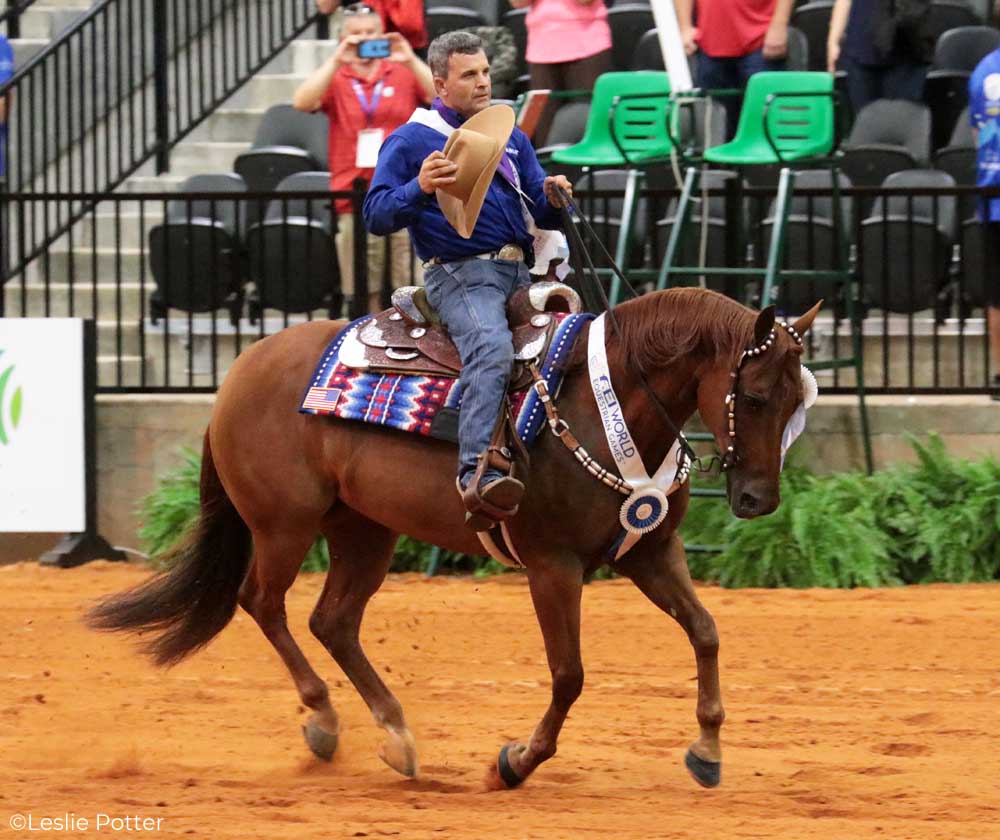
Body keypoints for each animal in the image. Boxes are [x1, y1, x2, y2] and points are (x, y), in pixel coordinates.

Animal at [90, 288, 816, 788]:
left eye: (794, 402)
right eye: (754, 397)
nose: (758, 500)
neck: (604, 402)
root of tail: (241, 370)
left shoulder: (649, 551)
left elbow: (706, 631)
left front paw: (708, 749)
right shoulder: (552, 566)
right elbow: (569, 674)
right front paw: (517, 762)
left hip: (364, 531)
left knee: (333, 621)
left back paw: (395, 733)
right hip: (283, 524)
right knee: (263, 603)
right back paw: (324, 720)